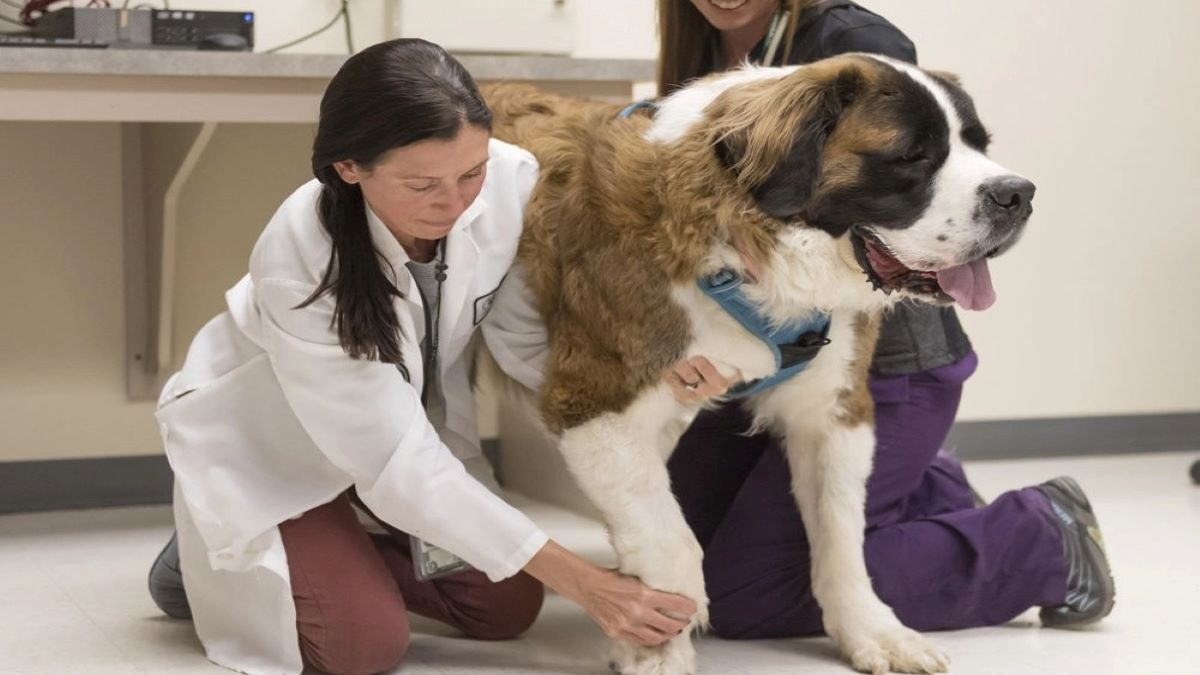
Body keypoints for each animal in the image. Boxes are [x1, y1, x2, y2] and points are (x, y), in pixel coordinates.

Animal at [482, 53, 1036, 672]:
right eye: (913, 156)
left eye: (979, 144)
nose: (1019, 194)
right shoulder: (593, 403)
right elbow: (669, 538)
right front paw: (655, 641)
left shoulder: (833, 412)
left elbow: (842, 535)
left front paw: (873, 632)